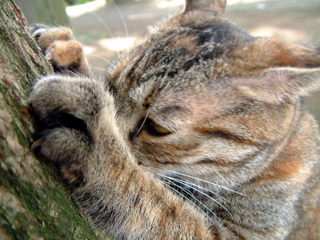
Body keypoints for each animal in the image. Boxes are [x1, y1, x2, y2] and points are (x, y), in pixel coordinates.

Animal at [28, 0, 320, 239]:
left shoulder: (240, 234)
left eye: (156, 127)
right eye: (111, 86)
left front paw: (97, 142)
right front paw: (68, 53)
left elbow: (154, 203)